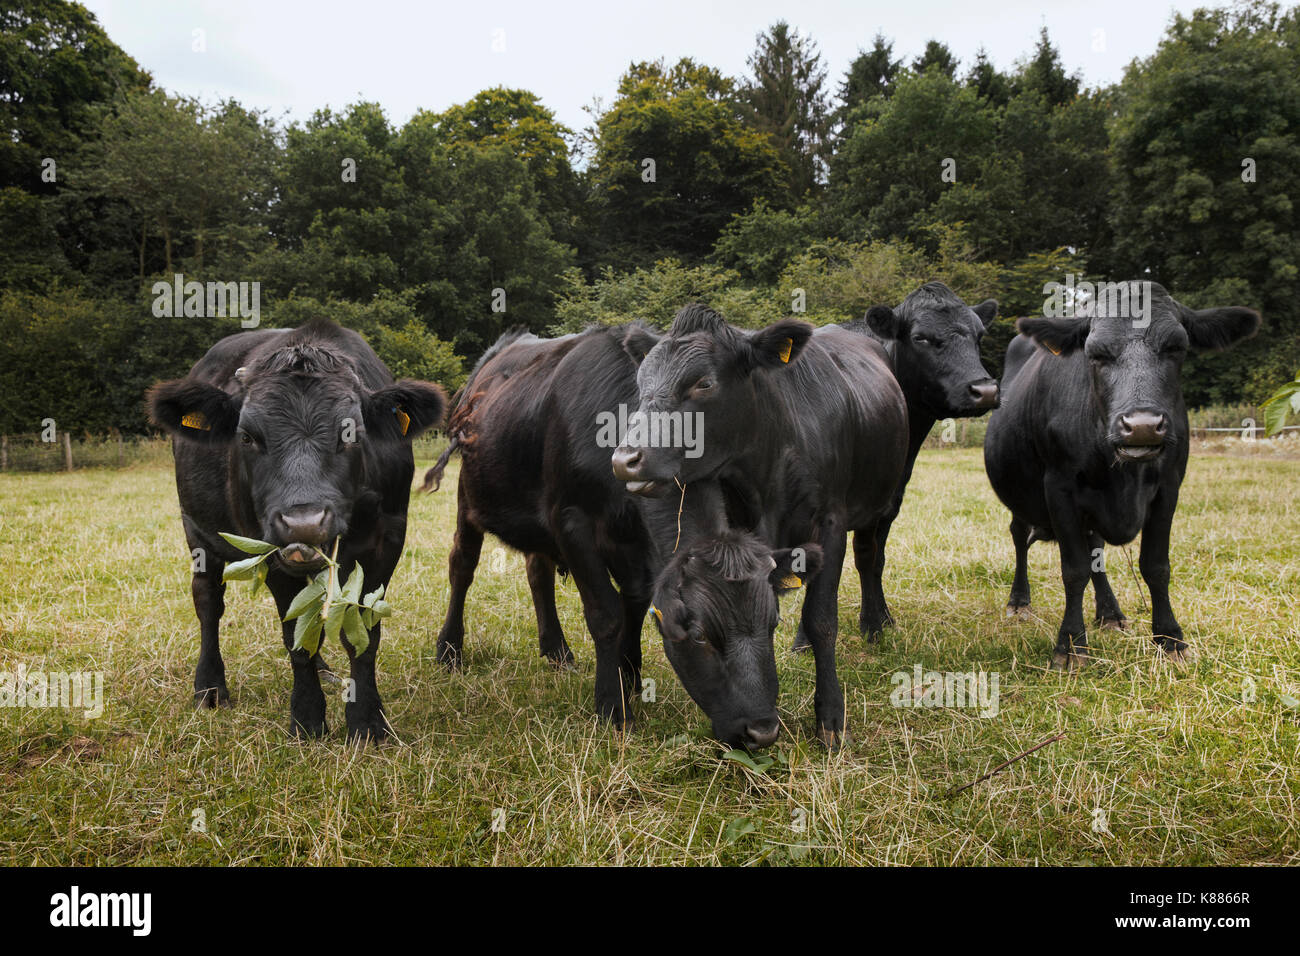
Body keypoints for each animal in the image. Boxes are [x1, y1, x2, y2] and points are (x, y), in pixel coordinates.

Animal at [147, 319, 447, 740]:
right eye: (247, 437)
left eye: (351, 434)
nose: (303, 523)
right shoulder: (268, 550)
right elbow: (295, 639)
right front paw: (307, 718)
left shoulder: (387, 540)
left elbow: (362, 637)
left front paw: (368, 722)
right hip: (196, 531)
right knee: (208, 602)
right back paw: (209, 688)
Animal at [613, 304, 909, 746]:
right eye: (641, 382)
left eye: (704, 383)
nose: (625, 459)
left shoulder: (831, 521)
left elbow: (823, 617)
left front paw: (831, 719)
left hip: (884, 501)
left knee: (870, 559)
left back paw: (875, 626)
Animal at [790, 281, 999, 650]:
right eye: (921, 338)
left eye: (979, 336)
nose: (985, 390)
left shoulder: (888, 499)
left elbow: (875, 560)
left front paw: (879, 620)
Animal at [983, 282, 1259, 668]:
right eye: (1095, 353)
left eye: (1177, 347)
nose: (1141, 426)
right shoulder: (1059, 488)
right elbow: (1074, 570)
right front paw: (1071, 646)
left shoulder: (1169, 487)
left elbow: (1155, 566)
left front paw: (1170, 639)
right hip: (1021, 496)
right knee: (1020, 536)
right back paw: (1019, 602)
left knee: (1095, 548)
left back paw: (1110, 613)